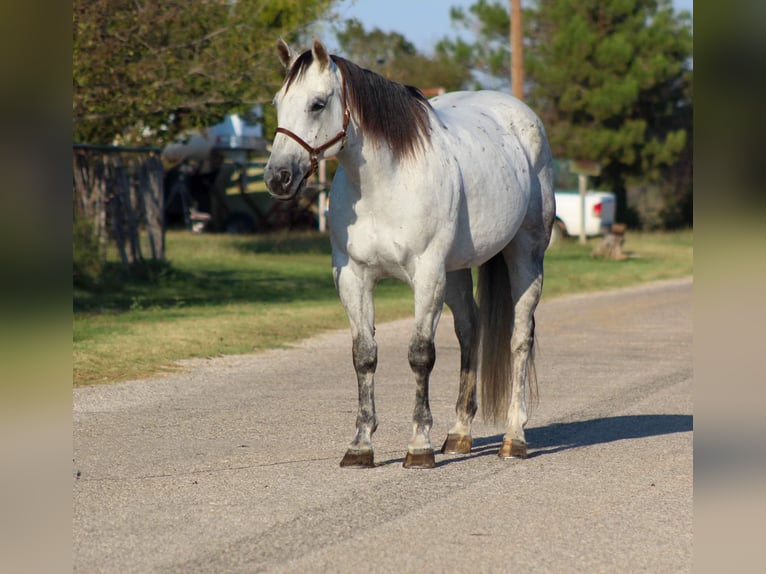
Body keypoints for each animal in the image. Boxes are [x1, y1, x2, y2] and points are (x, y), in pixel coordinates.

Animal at [265, 39, 555, 468]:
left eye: (317, 104)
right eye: (277, 103)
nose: (278, 178)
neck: (385, 184)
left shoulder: (427, 275)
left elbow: (421, 355)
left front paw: (419, 446)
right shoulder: (353, 277)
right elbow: (364, 355)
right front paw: (360, 445)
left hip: (525, 255)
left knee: (520, 339)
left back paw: (513, 438)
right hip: (456, 271)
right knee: (470, 331)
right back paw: (459, 434)